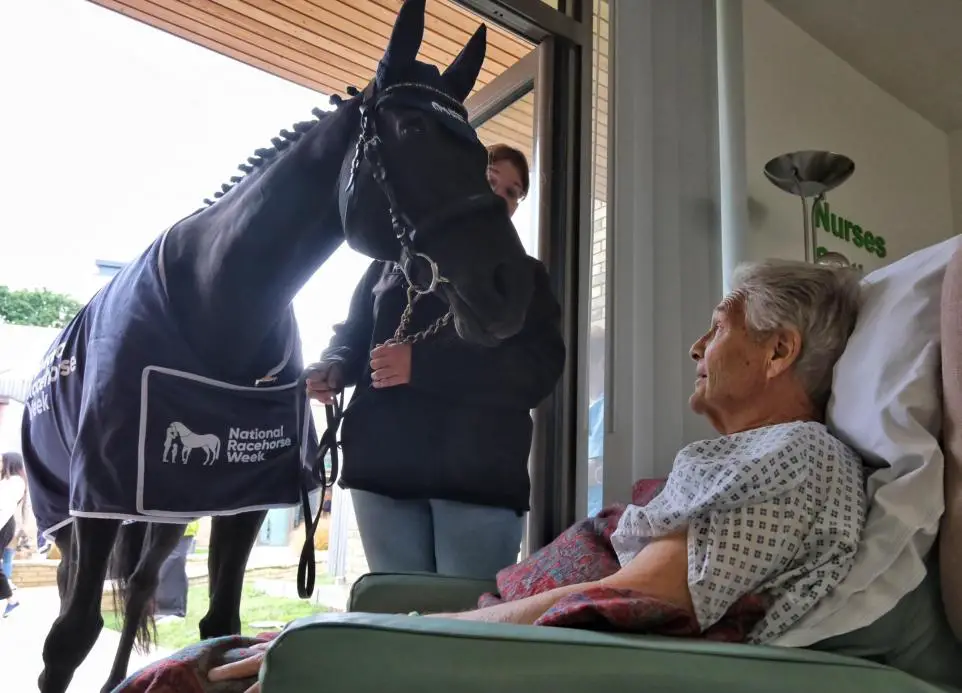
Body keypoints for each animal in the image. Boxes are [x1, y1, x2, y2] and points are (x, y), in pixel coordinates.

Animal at [20, 2, 532, 688]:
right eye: (412, 128)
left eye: (478, 151)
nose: (509, 288)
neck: (213, 304)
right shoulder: (96, 504)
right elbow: (69, 638)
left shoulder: (243, 501)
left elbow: (220, 625)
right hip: (69, 516)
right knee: (81, 598)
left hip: (169, 511)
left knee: (143, 585)